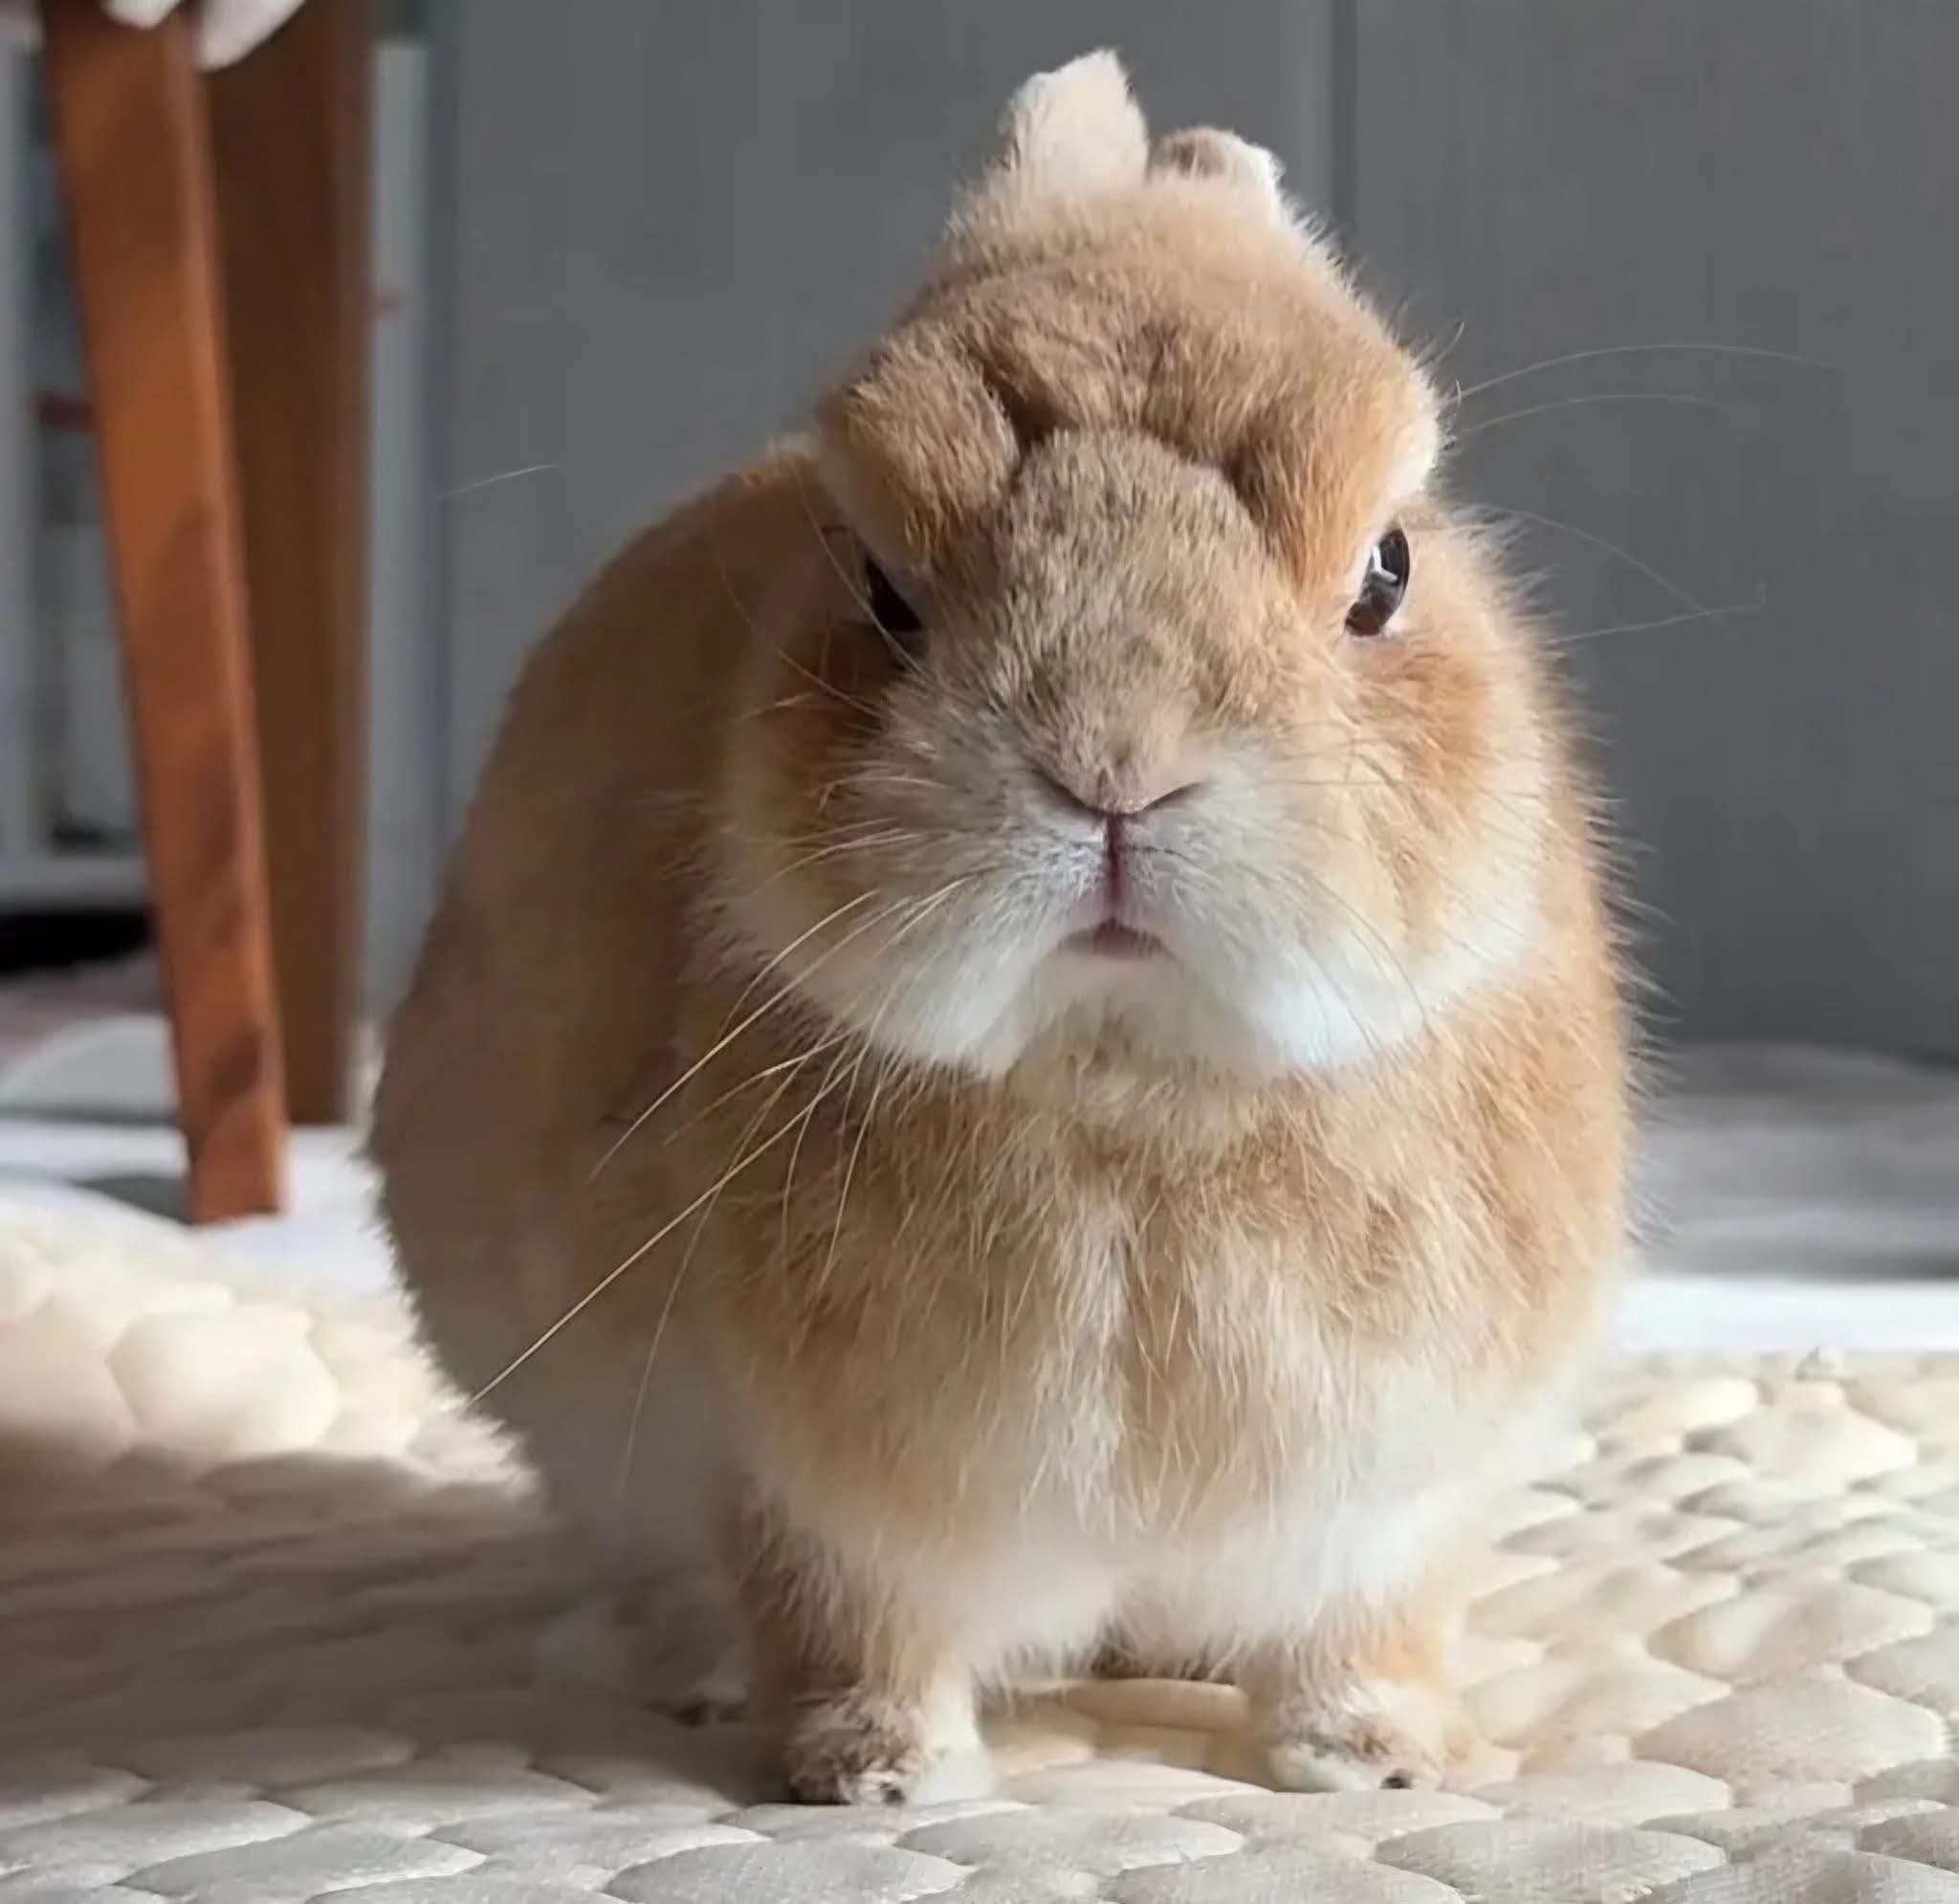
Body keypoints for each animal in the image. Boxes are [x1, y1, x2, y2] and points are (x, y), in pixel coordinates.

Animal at [372, 50, 1629, 1804]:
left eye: (1385, 571)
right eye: (879, 590)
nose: (1115, 765)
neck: (1133, 1083)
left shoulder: (1391, 1500)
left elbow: (1359, 1630)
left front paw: (1375, 1761)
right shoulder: (803, 1493)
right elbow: (844, 1624)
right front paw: (877, 1774)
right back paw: (684, 1673)